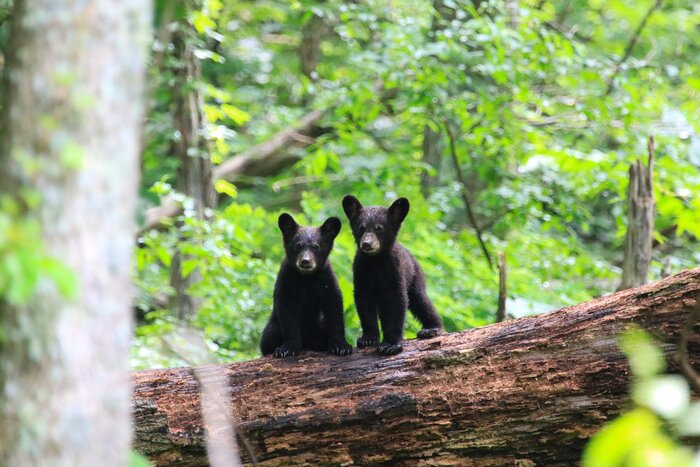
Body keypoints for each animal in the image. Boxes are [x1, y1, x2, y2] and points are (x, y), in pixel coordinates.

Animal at [260, 213, 353, 358]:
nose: (305, 261)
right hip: (273, 325)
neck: (306, 277)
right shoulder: (286, 282)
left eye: (316, 246)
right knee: (268, 336)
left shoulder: (327, 280)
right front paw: (287, 348)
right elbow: (288, 315)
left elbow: (334, 309)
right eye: (298, 245)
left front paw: (341, 346)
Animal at [342, 195, 443, 355]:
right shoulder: (361, 271)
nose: (367, 244)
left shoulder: (394, 271)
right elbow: (364, 303)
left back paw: (432, 329)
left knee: (421, 300)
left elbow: (396, 303)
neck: (375, 262)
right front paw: (367, 339)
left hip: (415, 277)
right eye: (361, 227)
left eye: (379, 228)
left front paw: (390, 345)